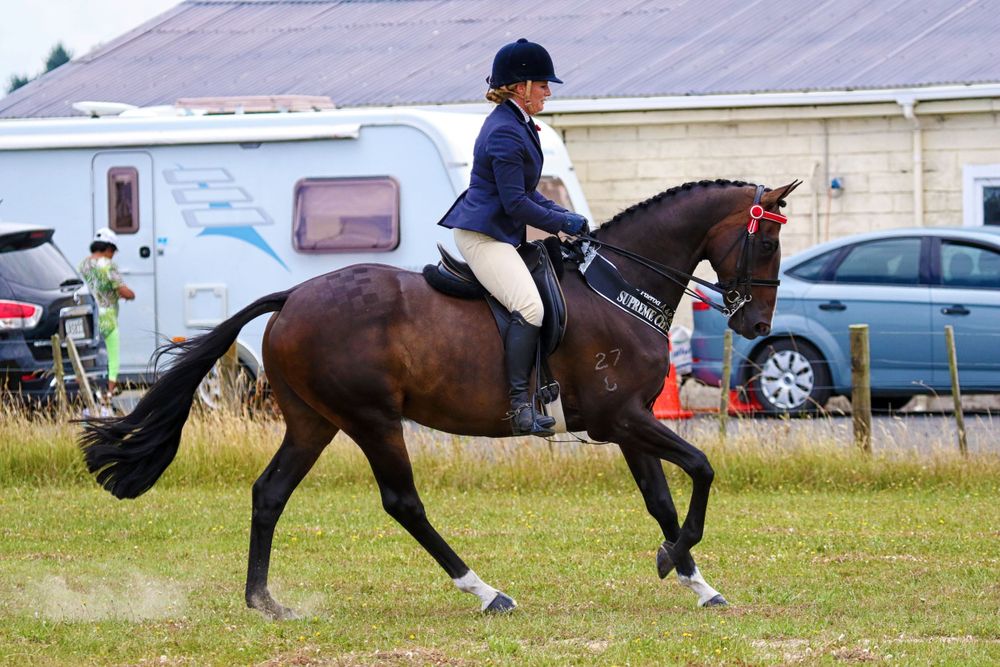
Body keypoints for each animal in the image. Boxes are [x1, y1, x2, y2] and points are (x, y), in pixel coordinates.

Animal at [80, 178, 801, 619]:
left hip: (314, 420)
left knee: (270, 491)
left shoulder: (629, 422)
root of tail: (292, 298)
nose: (756, 324)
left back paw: (266, 601)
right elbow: (701, 469)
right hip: (372, 419)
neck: (618, 282)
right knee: (403, 502)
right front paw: (674, 560)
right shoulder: (620, 417)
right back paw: (485, 591)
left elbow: (661, 499)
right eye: (766, 240)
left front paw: (695, 580)